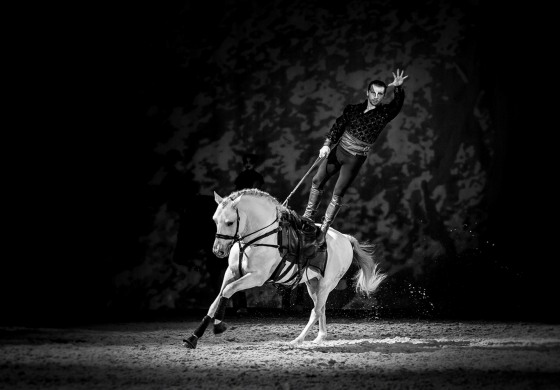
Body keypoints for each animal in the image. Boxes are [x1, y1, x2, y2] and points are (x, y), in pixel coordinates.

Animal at [184, 187, 384, 348]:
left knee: (315, 311)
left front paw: (219, 326)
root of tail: (344, 238)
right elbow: (216, 300)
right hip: (313, 284)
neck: (257, 237)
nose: (218, 251)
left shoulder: (256, 277)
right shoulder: (231, 273)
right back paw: (320, 337)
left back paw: (297, 340)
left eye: (230, 222)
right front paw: (193, 337)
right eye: (214, 220)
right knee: (321, 309)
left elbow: (228, 291)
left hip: (327, 284)